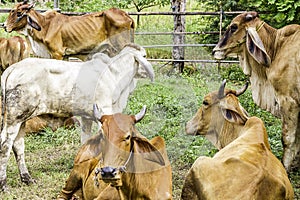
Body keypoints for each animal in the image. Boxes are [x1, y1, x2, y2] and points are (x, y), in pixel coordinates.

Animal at [0, 43, 155, 191]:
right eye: (144, 55)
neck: (113, 74)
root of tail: (13, 68)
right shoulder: (104, 113)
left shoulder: (87, 118)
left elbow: (86, 142)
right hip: (14, 118)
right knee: (5, 144)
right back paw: (4, 185)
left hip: (22, 120)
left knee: (18, 145)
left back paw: (27, 178)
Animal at [3, 0, 134, 60]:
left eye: (18, 13)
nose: (4, 25)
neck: (45, 25)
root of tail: (126, 15)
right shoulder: (64, 56)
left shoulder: (57, 54)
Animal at [211, 11, 300, 172]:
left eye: (233, 27)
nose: (215, 51)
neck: (277, 47)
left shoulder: (289, 101)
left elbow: (288, 139)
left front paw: (285, 167)